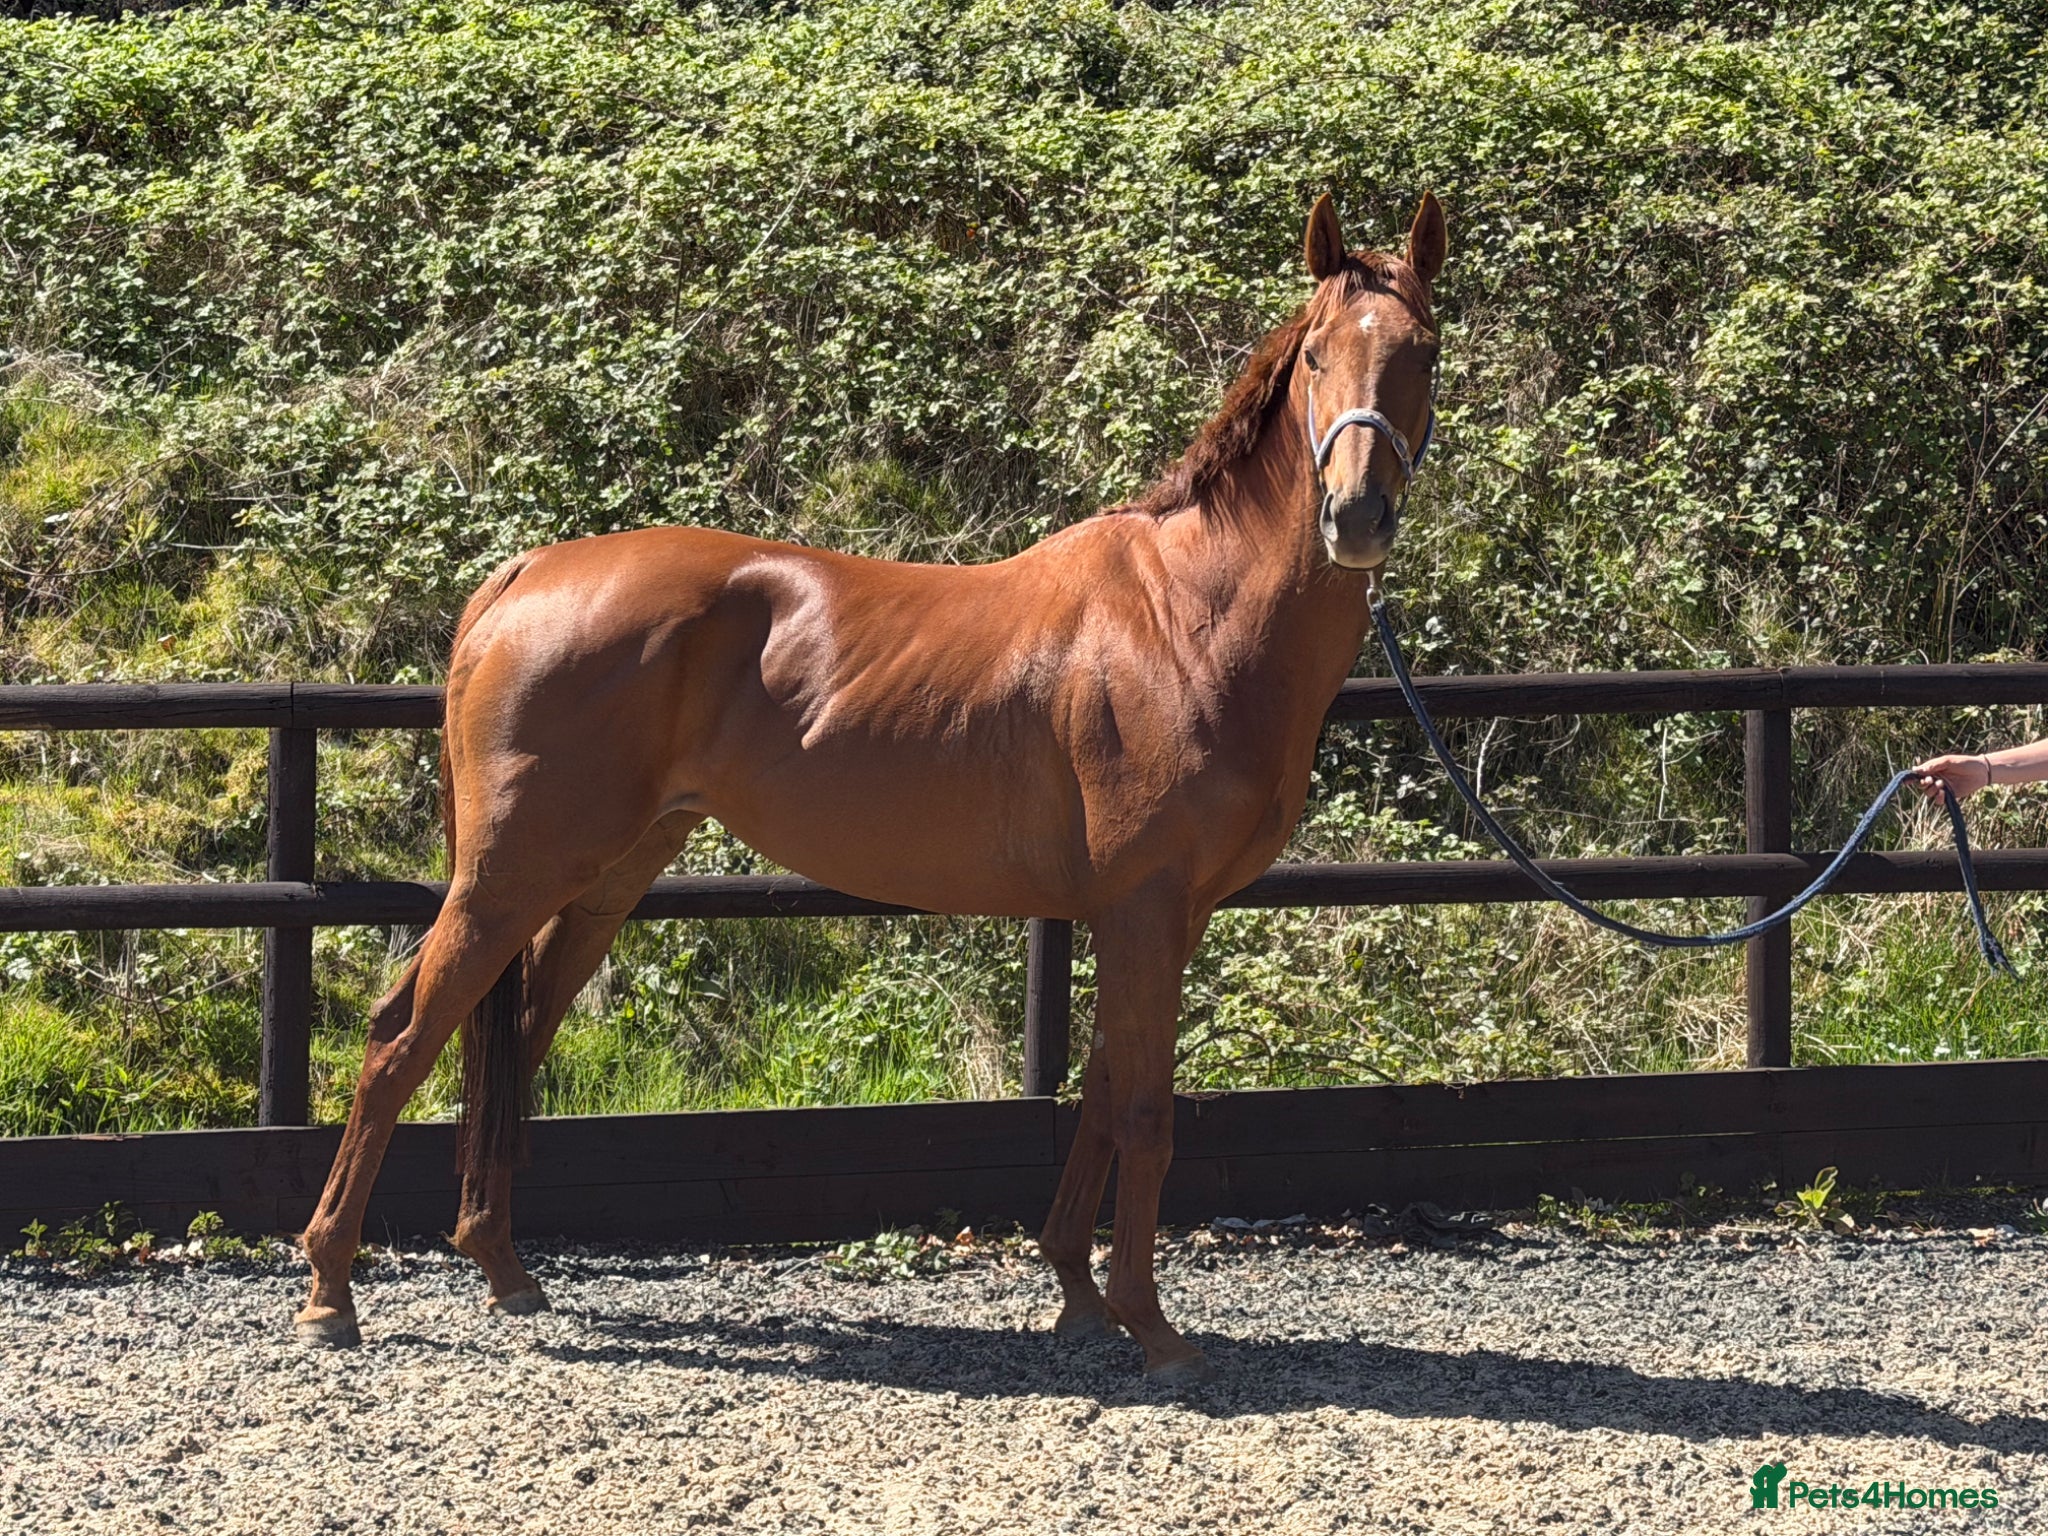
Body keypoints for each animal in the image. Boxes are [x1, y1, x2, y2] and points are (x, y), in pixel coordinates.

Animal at [295, 192, 1447, 1383]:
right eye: (1315, 356)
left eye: (1423, 351)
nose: (1356, 516)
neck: (1185, 618)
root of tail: (526, 574)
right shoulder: (1144, 910)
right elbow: (1142, 1110)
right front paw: (1151, 1325)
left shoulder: (1149, 919)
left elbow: (1094, 1093)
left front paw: (1077, 1293)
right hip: (510, 875)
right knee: (399, 1038)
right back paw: (330, 1291)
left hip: (604, 878)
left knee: (512, 1045)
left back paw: (502, 1269)